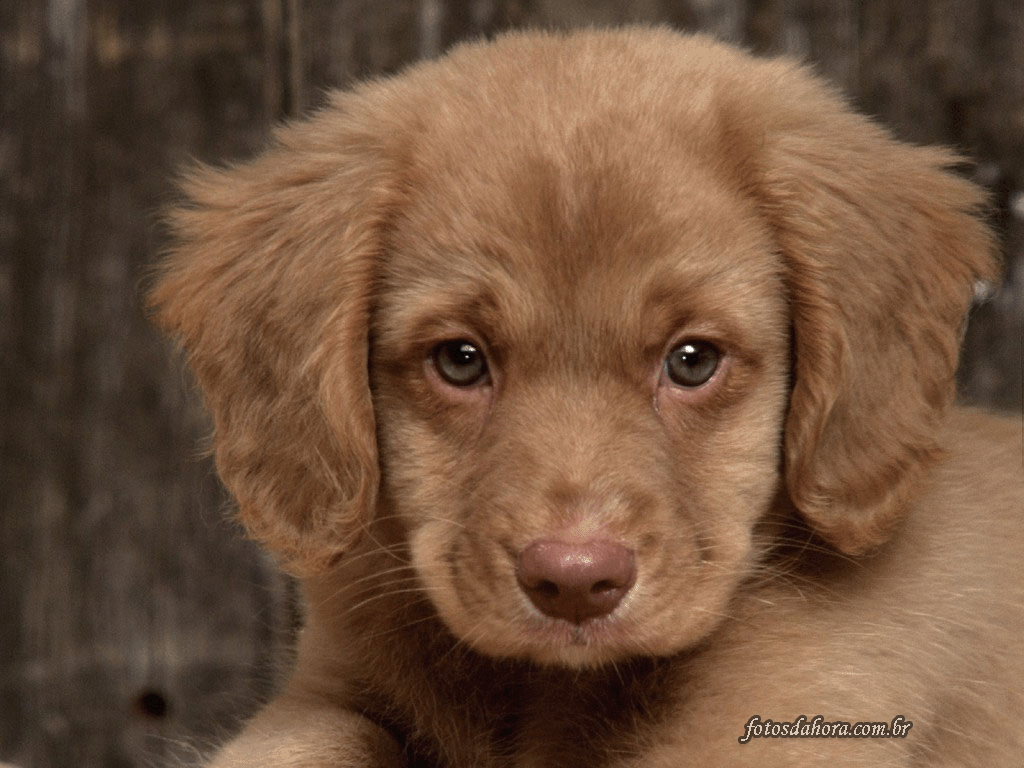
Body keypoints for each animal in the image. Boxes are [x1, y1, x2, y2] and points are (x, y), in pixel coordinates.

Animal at [149, 27, 1024, 765]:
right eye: (460, 361)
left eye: (693, 361)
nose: (573, 582)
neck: (546, 688)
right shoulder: (328, 692)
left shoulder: (789, 719)